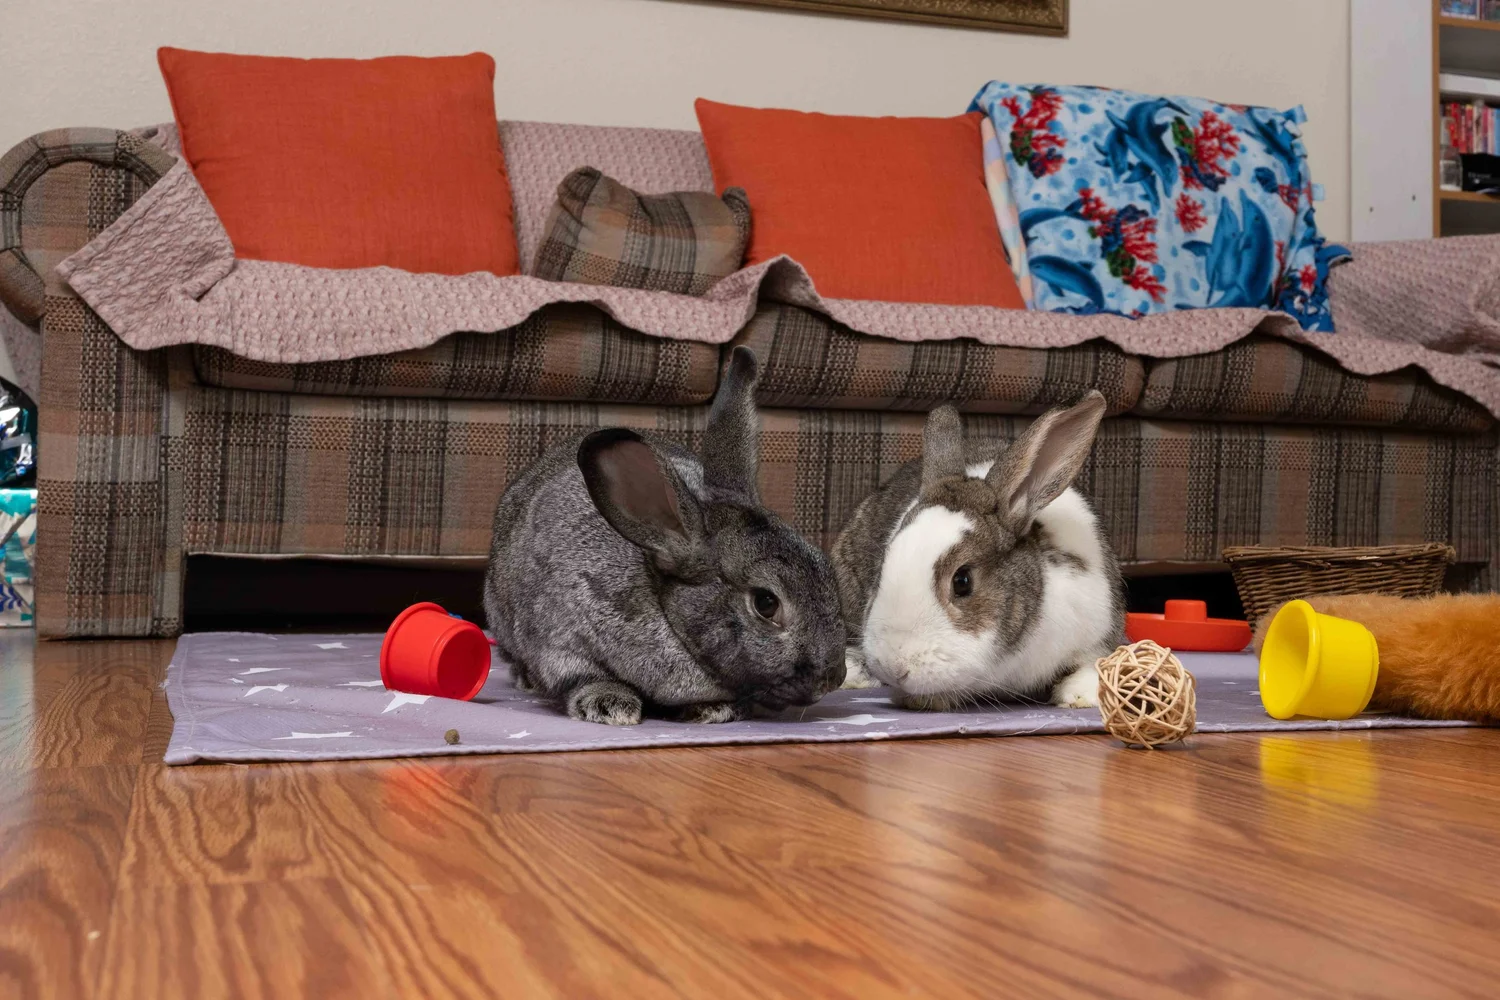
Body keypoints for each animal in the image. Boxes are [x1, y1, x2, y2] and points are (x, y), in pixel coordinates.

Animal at [483, 346, 846, 726]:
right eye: (766, 603)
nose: (834, 678)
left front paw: (715, 710)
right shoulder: (562, 643)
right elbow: (584, 678)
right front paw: (611, 707)